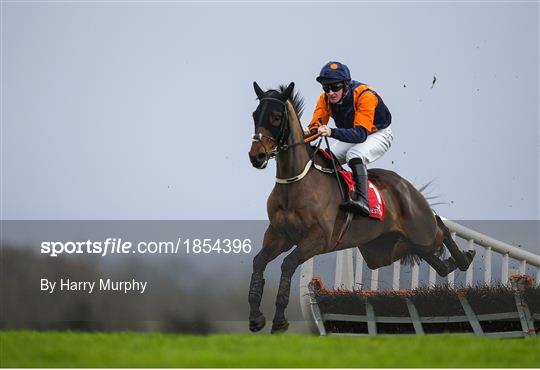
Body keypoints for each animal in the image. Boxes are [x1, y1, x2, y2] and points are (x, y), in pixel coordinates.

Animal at [247, 82, 474, 334]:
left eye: (276, 117)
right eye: (255, 115)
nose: (256, 156)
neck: (297, 182)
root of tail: (407, 187)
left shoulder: (318, 238)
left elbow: (287, 264)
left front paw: (279, 321)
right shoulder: (279, 235)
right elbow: (258, 262)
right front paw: (256, 318)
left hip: (421, 231)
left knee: (440, 229)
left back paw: (465, 257)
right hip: (381, 251)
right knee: (425, 254)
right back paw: (452, 262)